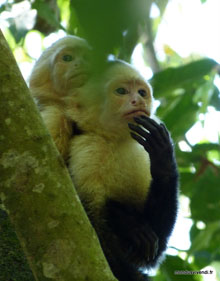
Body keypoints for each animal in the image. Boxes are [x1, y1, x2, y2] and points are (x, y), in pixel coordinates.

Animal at [64, 61, 180, 280]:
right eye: (121, 91)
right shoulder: (88, 150)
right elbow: (87, 226)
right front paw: (130, 226)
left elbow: (153, 254)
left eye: (142, 92)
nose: (138, 100)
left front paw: (163, 158)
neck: (114, 140)